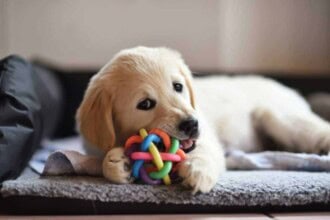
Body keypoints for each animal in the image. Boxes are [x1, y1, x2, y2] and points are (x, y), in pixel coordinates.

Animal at [76, 46, 330, 192]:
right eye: (145, 104)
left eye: (178, 86)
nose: (191, 124)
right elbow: (104, 159)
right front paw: (117, 163)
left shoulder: (207, 138)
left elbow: (204, 152)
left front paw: (198, 171)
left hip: (276, 116)